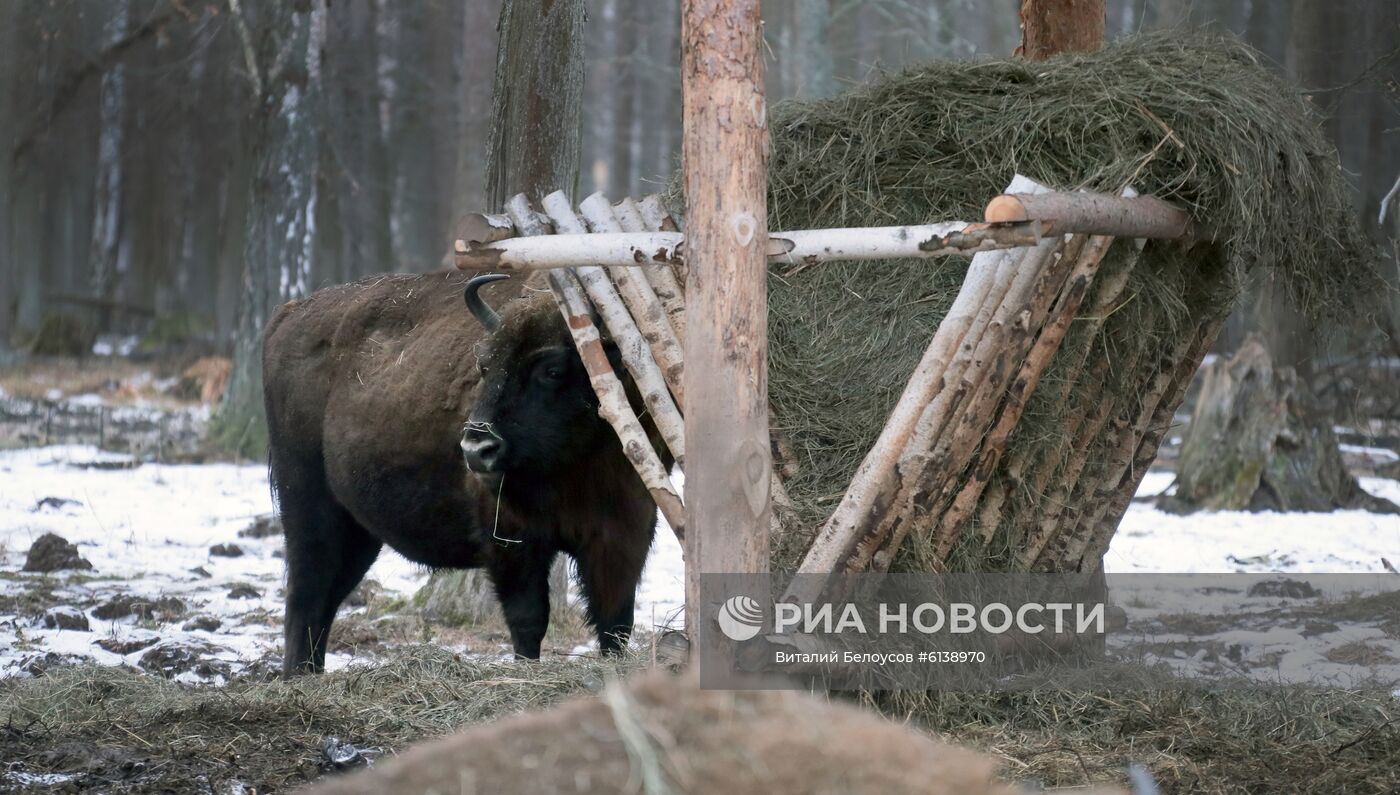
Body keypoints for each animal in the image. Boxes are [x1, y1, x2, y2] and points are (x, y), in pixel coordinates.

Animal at [264, 270, 663, 674]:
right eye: (484, 367)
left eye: (551, 370)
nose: (476, 448)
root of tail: (287, 314)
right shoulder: (511, 537)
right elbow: (529, 619)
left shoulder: (624, 532)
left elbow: (615, 621)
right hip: (308, 504)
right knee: (308, 591)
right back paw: (299, 675)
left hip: (358, 530)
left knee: (328, 595)